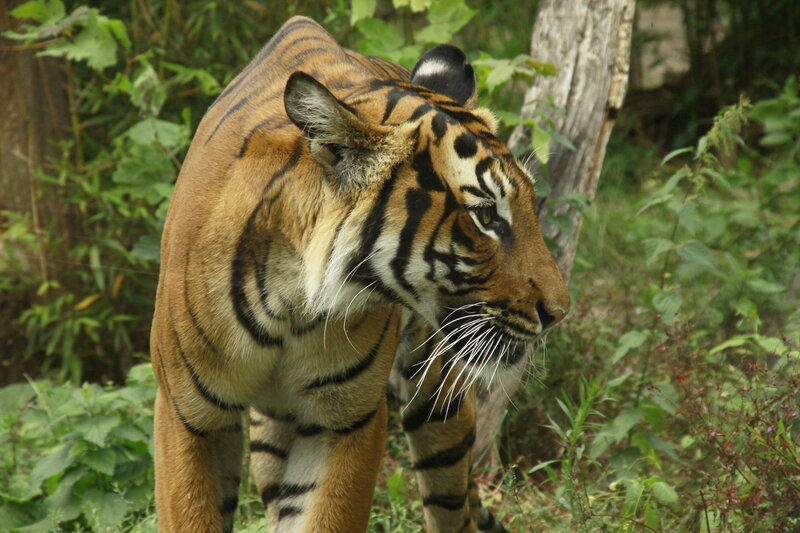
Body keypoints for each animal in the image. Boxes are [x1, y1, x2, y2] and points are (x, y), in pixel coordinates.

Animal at [150, 15, 569, 533]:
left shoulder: (347, 419)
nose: (558, 311)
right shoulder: (188, 416)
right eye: (487, 215)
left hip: (438, 398)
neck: (292, 300)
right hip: (270, 436)